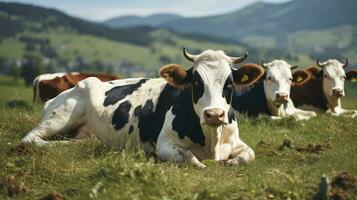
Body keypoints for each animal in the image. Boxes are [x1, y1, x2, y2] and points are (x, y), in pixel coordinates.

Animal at [20, 47, 262, 168]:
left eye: (229, 83)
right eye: (196, 82)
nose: (213, 114)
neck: (212, 139)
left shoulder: (237, 142)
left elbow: (249, 155)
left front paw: (232, 162)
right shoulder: (164, 145)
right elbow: (190, 158)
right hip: (61, 117)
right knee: (31, 139)